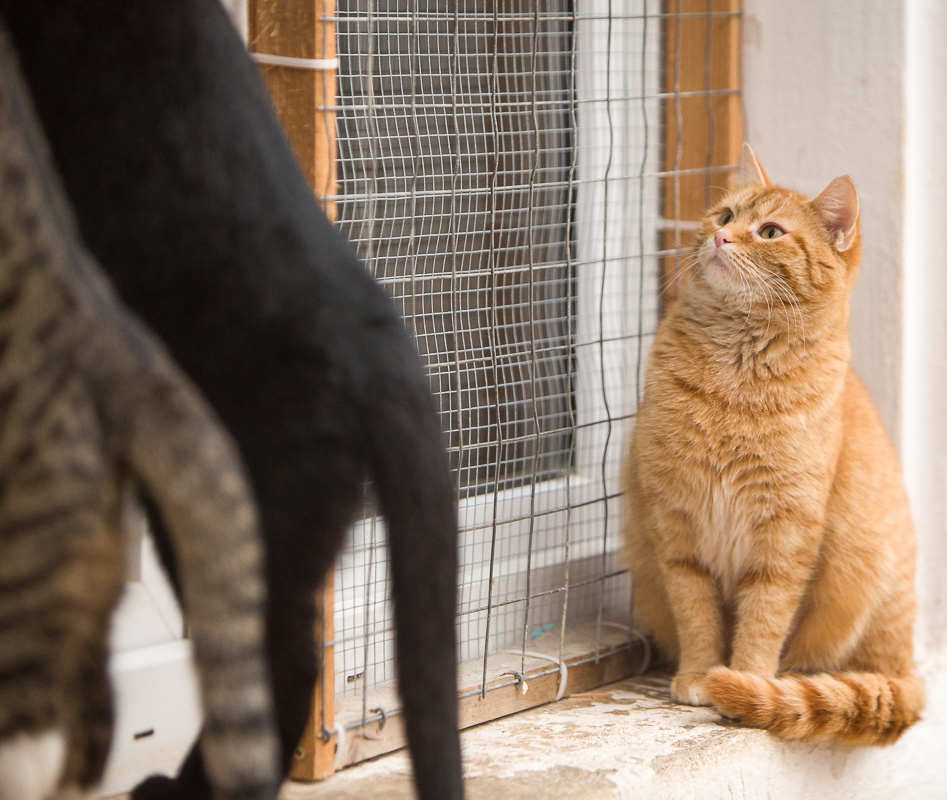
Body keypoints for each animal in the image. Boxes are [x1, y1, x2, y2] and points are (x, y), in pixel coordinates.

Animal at [624, 142, 924, 744]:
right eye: (724, 215)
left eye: (769, 232)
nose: (721, 237)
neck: (735, 376)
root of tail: (905, 667)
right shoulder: (677, 528)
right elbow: (697, 614)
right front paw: (699, 674)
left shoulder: (785, 535)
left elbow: (764, 618)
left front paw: (745, 681)